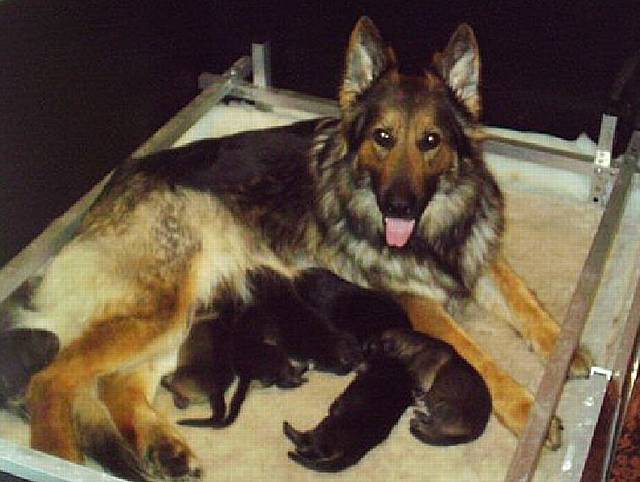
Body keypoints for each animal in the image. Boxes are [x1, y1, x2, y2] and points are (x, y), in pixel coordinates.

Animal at [7, 17, 592, 480]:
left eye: (430, 141)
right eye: (382, 138)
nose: (398, 207)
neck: (432, 228)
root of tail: (108, 194)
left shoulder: (474, 254)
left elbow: (524, 300)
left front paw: (566, 348)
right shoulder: (418, 304)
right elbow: (478, 355)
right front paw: (528, 407)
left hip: (184, 317)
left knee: (116, 386)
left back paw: (165, 447)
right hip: (160, 306)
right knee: (50, 380)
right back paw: (58, 459)